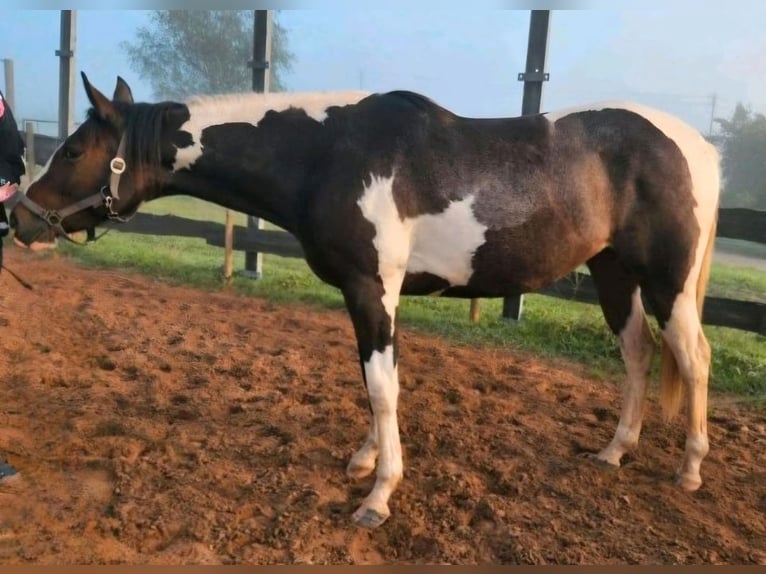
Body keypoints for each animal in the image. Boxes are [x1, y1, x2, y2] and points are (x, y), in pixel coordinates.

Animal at [11, 73, 720, 529]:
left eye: (73, 150)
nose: (17, 218)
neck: (326, 154)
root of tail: (699, 147)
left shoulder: (369, 289)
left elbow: (382, 387)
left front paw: (379, 496)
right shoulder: (379, 296)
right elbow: (376, 382)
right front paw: (367, 460)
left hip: (668, 284)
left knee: (693, 358)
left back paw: (690, 471)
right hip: (613, 274)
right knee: (638, 356)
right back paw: (615, 451)